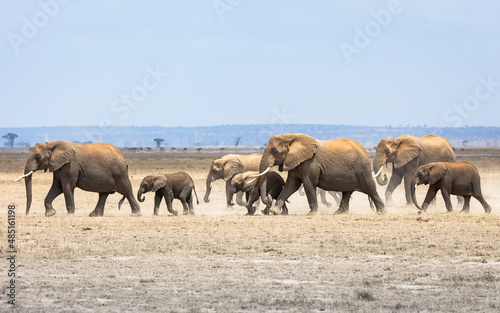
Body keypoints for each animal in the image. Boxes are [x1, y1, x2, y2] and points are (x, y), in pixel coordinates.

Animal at [256, 133, 384, 213]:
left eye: (275, 151)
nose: (268, 197)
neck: (291, 137)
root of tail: (364, 150)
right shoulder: (295, 162)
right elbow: (291, 185)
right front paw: (274, 212)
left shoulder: (310, 163)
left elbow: (308, 184)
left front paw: (311, 214)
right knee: (347, 192)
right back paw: (338, 213)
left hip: (362, 169)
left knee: (370, 189)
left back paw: (382, 212)